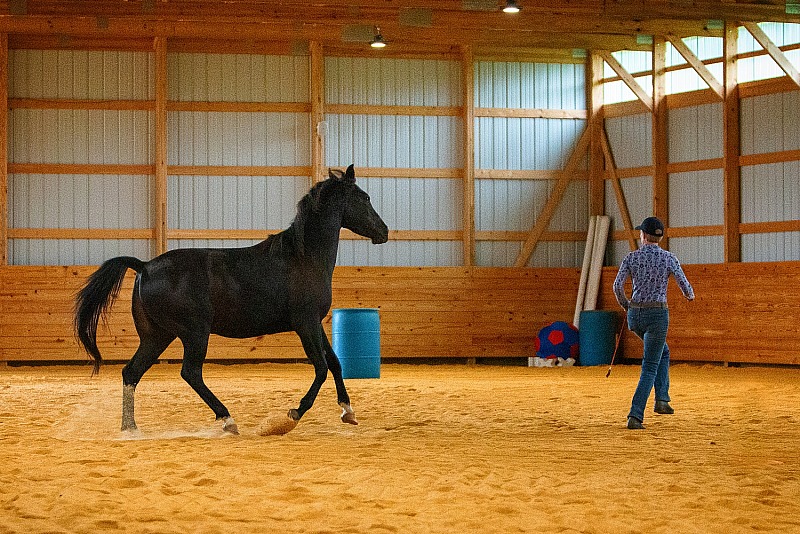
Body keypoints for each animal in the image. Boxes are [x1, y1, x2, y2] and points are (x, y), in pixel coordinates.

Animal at [74, 166, 388, 436]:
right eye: (365, 198)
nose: (384, 231)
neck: (303, 257)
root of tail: (145, 266)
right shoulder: (305, 323)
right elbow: (321, 367)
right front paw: (291, 416)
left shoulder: (316, 323)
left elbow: (334, 362)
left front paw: (348, 412)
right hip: (194, 333)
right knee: (190, 373)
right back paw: (227, 420)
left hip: (157, 336)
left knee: (132, 372)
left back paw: (131, 428)